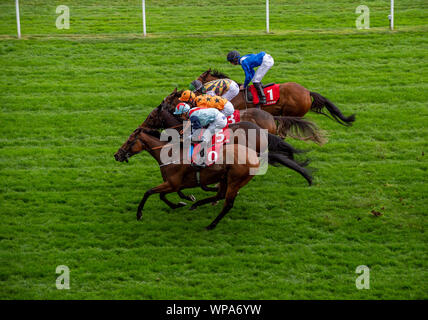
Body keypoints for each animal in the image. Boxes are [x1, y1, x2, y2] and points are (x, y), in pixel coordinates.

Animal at [113, 126, 260, 229]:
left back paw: (211, 225)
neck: (171, 153)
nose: (116, 155)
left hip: (235, 181)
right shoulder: (174, 184)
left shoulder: (172, 184)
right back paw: (196, 205)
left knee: (227, 204)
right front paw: (180, 203)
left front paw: (139, 214)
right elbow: (163, 195)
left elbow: (148, 192)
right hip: (225, 178)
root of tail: (254, 157)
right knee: (220, 195)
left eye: (129, 141)